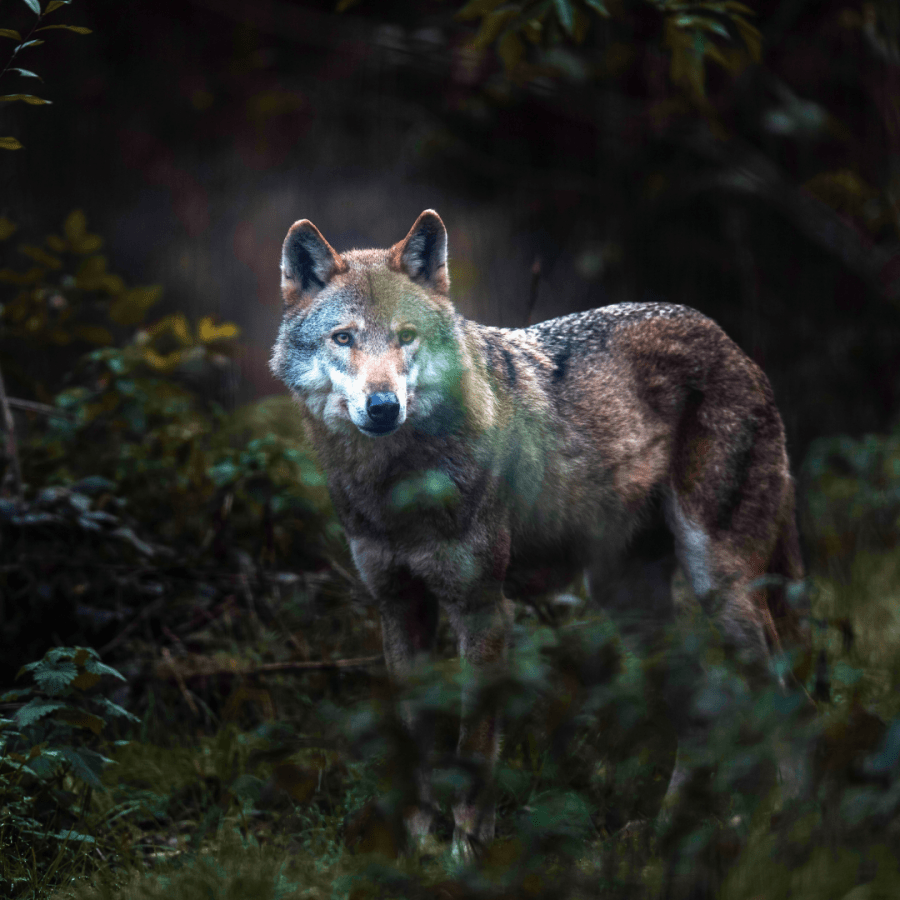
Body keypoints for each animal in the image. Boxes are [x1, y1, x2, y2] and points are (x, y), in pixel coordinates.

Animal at [270, 209, 806, 852]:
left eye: (406, 336)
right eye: (344, 338)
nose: (383, 407)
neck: (399, 488)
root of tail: (730, 342)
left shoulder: (482, 610)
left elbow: (474, 749)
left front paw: (466, 851)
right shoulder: (398, 607)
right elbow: (416, 744)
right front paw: (420, 848)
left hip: (720, 586)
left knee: (780, 697)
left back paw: (788, 828)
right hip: (627, 601)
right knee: (703, 715)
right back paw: (666, 834)